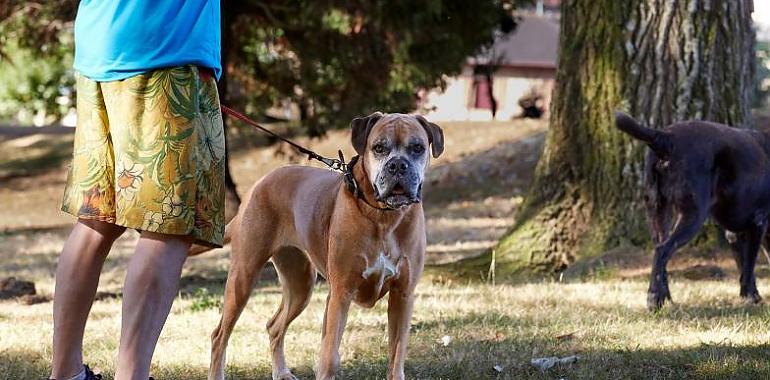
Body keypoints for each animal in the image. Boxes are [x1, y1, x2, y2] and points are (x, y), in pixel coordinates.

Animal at [190, 113, 444, 380]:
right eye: (379, 148)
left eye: (417, 147)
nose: (397, 165)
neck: (384, 216)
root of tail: (258, 185)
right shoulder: (341, 293)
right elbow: (329, 355)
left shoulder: (403, 295)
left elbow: (396, 354)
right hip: (243, 276)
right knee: (219, 335)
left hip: (300, 285)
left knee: (274, 326)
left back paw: (281, 372)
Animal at [616, 111, 770, 310]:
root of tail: (666, 137)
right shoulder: (758, 224)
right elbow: (749, 266)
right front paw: (751, 297)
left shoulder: (736, 233)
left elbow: (743, 266)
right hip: (693, 215)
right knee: (663, 250)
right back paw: (653, 298)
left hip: (658, 211)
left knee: (660, 251)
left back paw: (665, 298)